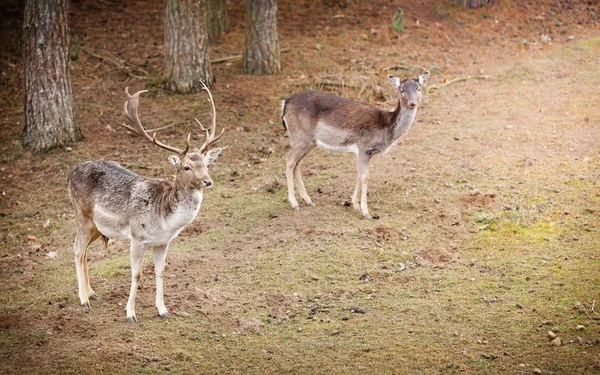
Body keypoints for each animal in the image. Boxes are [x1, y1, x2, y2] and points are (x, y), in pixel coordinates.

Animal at [68, 83, 223, 322]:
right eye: (186, 167)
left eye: (207, 164)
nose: (207, 181)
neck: (165, 220)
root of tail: (69, 174)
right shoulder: (137, 237)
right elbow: (137, 274)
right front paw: (130, 313)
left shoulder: (162, 242)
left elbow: (161, 272)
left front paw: (163, 310)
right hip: (82, 214)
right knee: (76, 249)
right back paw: (84, 300)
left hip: (97, 226)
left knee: (84, 251)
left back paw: (92, 293)